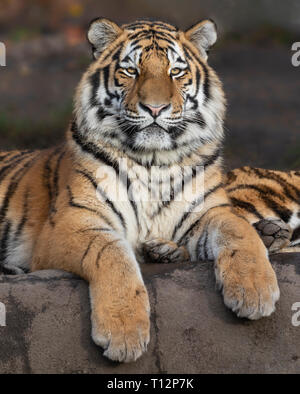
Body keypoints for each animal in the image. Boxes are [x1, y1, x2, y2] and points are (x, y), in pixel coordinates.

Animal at [0, 18, 298, 364]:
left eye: (175, 72)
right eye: (131, 71)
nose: (155, 108)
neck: (153, 161)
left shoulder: (209, 212)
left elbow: (238, 231)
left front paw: (255, 290)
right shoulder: (70, 224)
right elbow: (111, 253)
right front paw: (124, 332)